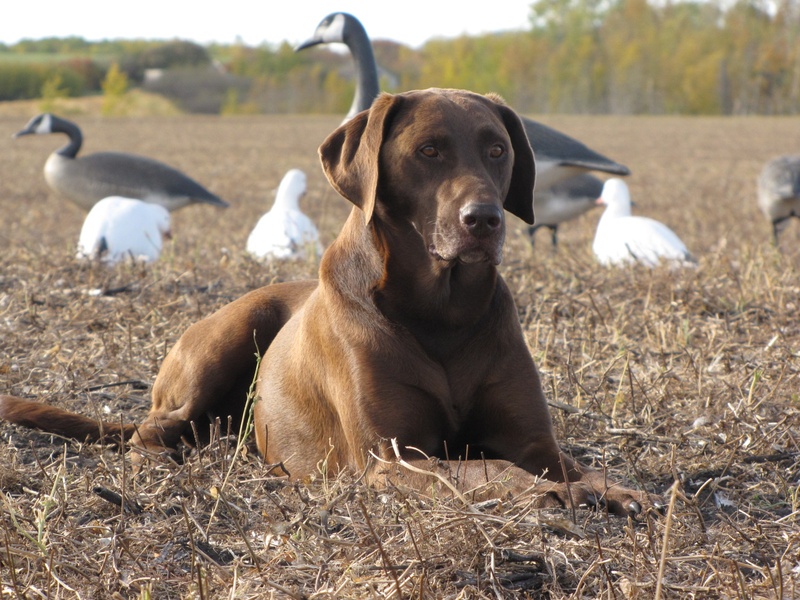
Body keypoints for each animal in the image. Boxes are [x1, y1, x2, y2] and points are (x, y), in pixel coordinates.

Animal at [0, 88, 664, 516]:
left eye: (497, 149)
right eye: (429, 151)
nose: (485, 221)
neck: (442, 313)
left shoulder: (534, 442)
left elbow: (564, 461)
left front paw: (611, 487)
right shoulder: (393, 460)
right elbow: (491, 468)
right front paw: (557, 494)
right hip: (227, 336)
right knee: (148, 433)